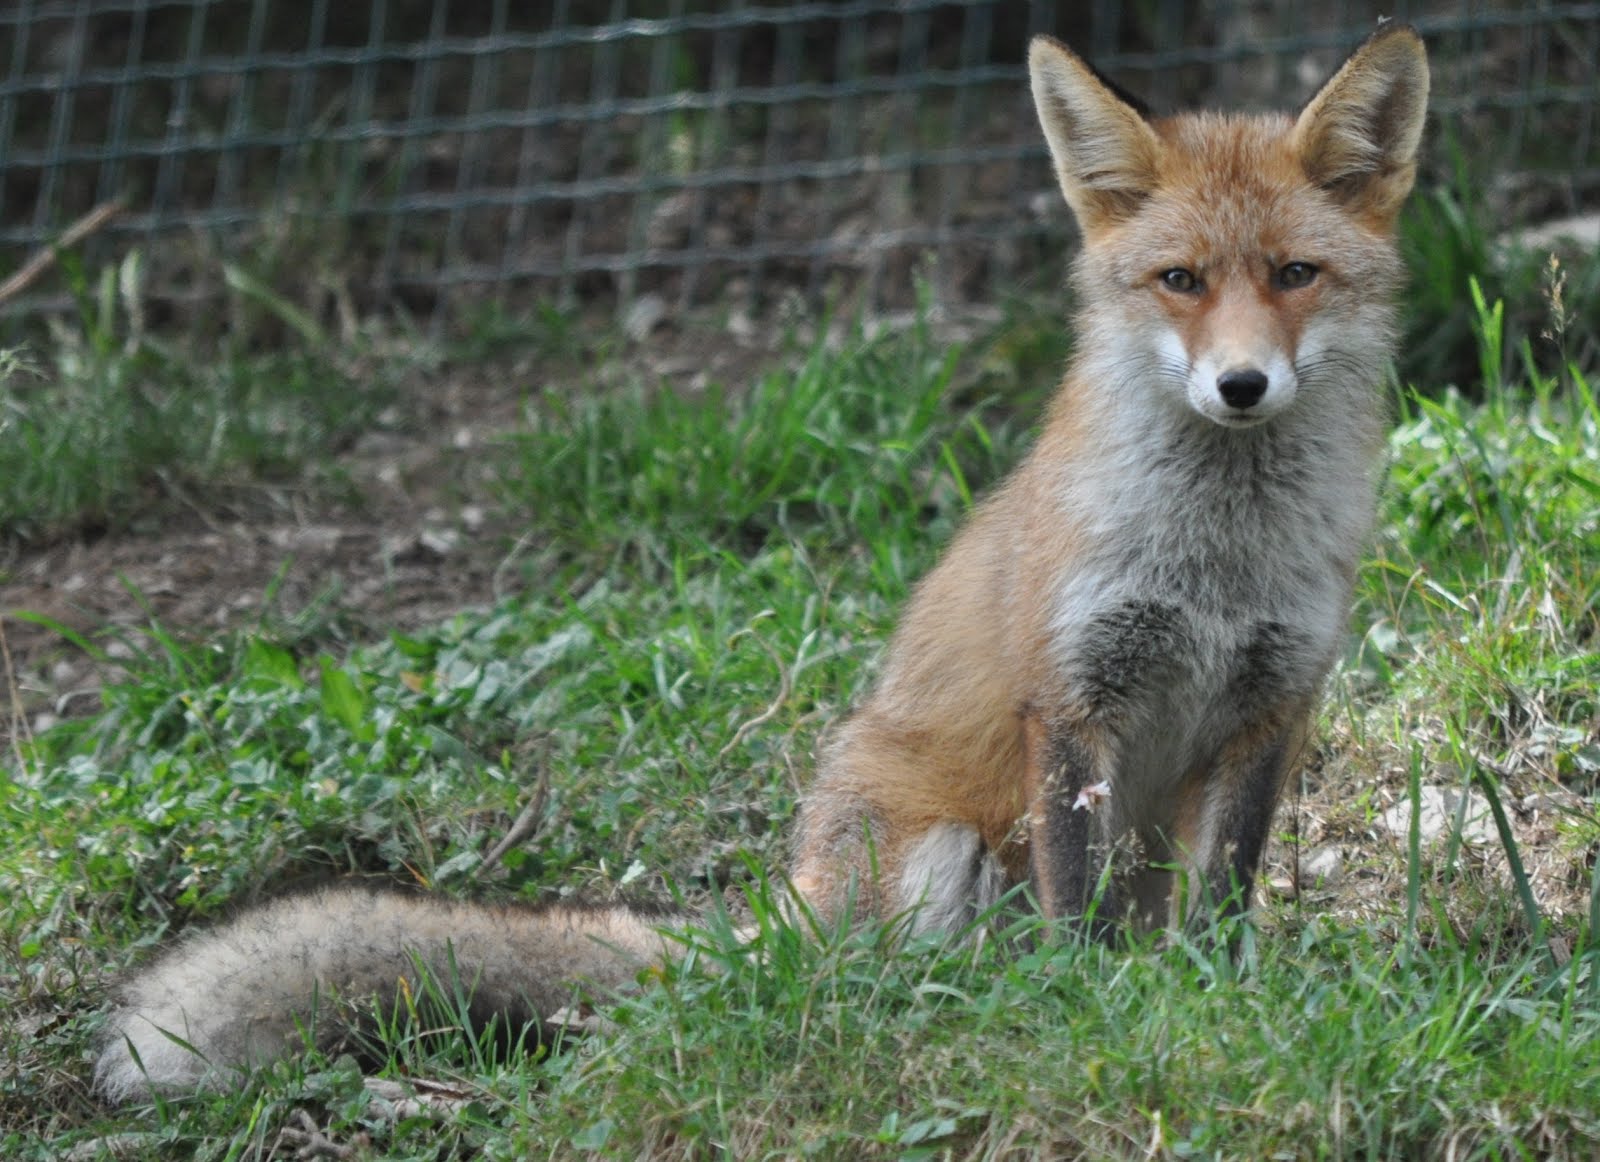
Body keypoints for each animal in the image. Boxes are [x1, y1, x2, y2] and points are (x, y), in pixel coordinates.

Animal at [94, 24, 1428, 1103]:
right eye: (1180, 281)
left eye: (1294, 275)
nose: (1242, 385)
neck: (1216, 561)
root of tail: (784, 908)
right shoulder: (1070, 701)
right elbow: (1076, 904)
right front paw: (1088, 1013)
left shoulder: (1271, 704)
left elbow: (1223, 901)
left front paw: (1215, 1004)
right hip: (924, 850)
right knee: (860, 981)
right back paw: (943, 1008)